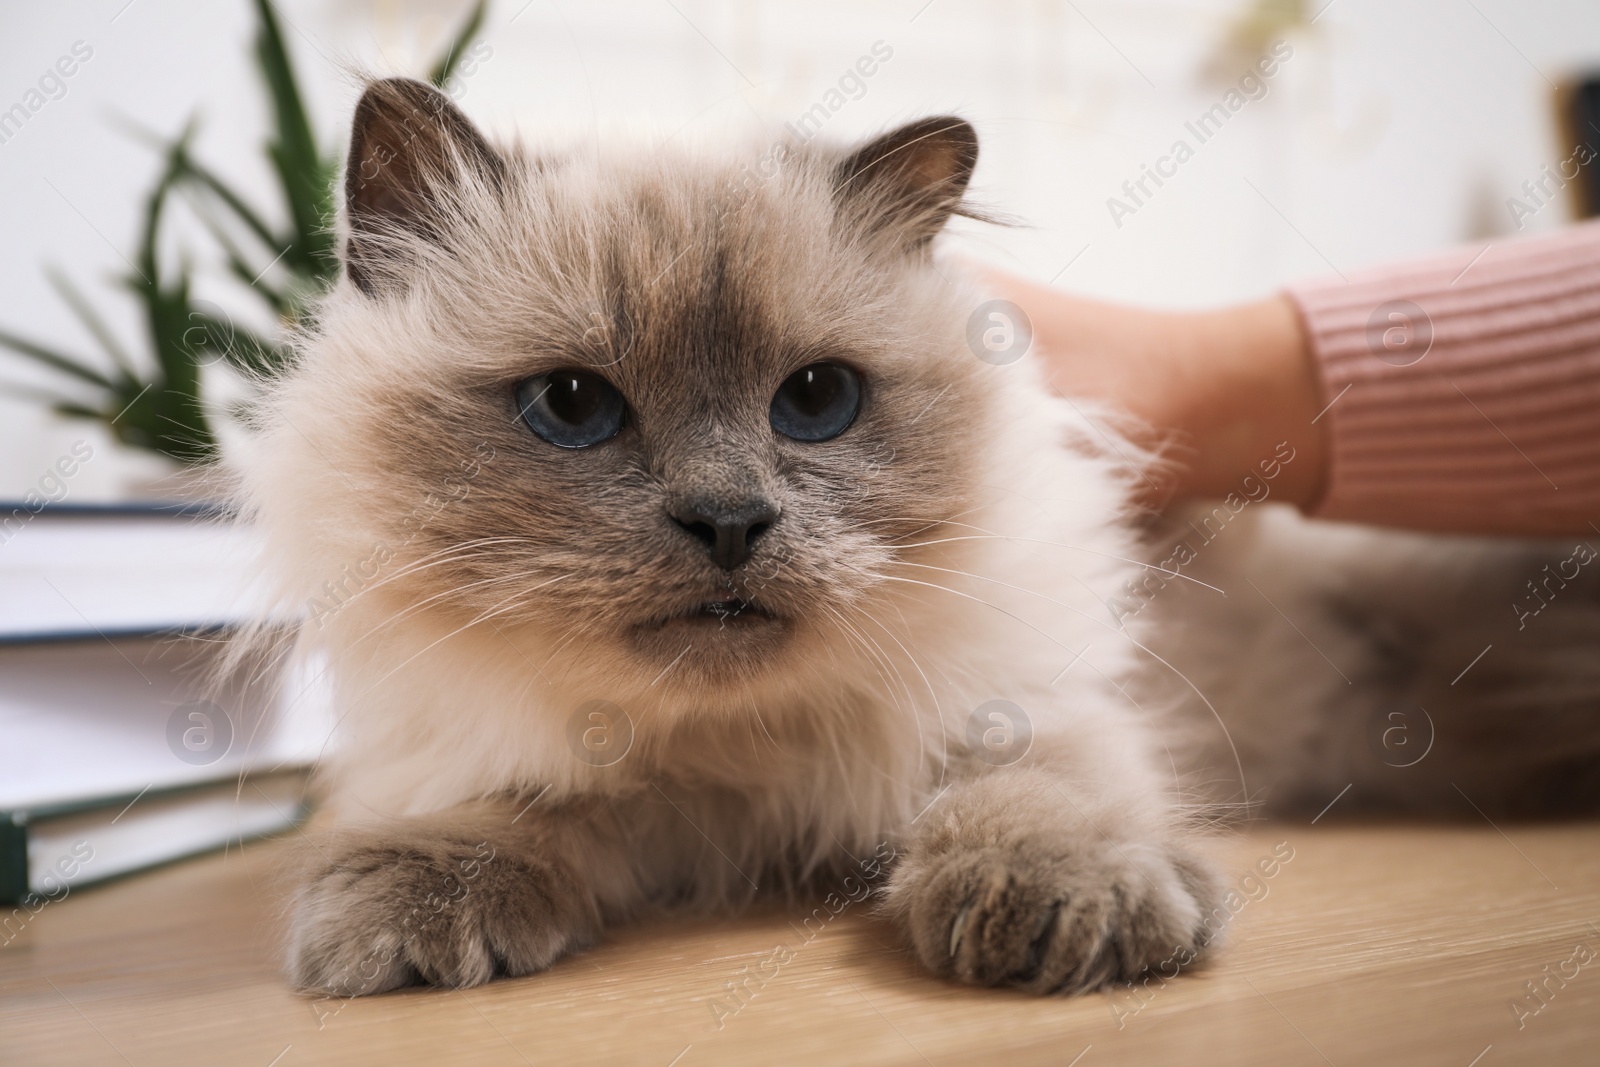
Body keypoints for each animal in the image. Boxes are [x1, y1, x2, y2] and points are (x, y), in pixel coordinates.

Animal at [236, 77, 1600, 1004]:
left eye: (816, 401)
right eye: (572, 407)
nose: (728, 519)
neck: (733, 769)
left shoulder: (1024, 695)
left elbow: (1031, 791)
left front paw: (1072, 913)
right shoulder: (482, 741)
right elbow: (485, 804)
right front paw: (406, 917)